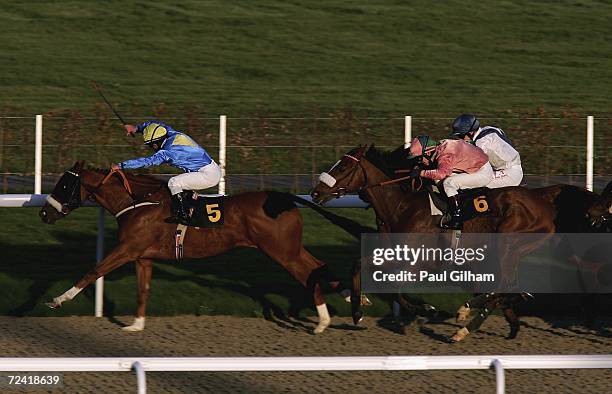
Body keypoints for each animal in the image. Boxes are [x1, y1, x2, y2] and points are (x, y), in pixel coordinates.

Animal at [39, 162, 354, 334]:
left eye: (64, 185)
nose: (44, 213)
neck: (138, 202)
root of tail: (285, 198)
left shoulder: (128, 249)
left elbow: (93, 271)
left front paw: (57, 300)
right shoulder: (143, 256)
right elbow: (143, 289)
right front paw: (136, 325)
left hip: (281, 251)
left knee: (308, 274)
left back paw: (323, 321)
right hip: (290, 247)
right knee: (318, 266)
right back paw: (350, 296)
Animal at [310, 146, 556, 340]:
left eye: (342, 168)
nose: (315, 193)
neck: (403, 205)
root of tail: (544, 204)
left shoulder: (422, 261)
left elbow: (394, 287)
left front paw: (426, 310)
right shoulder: (393, 253)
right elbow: (359, 265)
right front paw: (357, 311)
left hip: (507, 246)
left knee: (504, 285)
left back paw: (466, 316)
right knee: (506, 287)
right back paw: (500, 321)